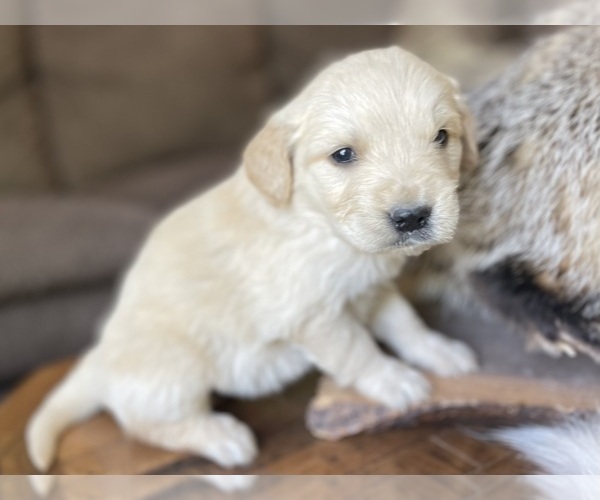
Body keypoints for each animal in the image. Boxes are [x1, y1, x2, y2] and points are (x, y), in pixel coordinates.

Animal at [27, 45, 478, 470]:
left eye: (441, 137)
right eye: (343, 155)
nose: (412, 217)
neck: (323, 227)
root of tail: (98, 361)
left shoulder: (373, 288)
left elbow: (404, 322)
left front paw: (438, 351)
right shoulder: (314, 317)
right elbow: (357, 349)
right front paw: (393, 379)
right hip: (175, 367)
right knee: (146, 424)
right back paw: (222, 437)